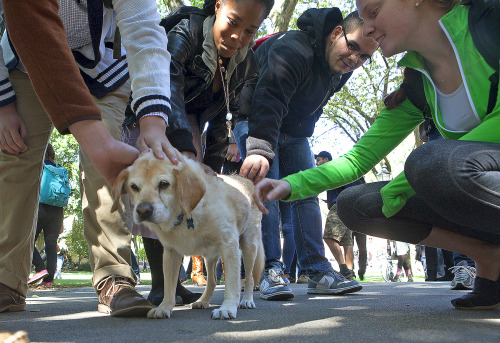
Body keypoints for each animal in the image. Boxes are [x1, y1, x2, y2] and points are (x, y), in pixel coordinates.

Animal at [111, 152, 264, 322]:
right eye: (134, 187)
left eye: (164, 184)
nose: (143, 211)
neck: (184, 215)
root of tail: (245, 180)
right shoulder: (170, 253)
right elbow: (169, 286)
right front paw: (164, 307)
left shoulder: (229, 246)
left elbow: (232, 283)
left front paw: (228, 307)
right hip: (210, 256)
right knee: (212, 280)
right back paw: (203, 300)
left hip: (248, 246)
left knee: (250, 277)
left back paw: (247, 300)